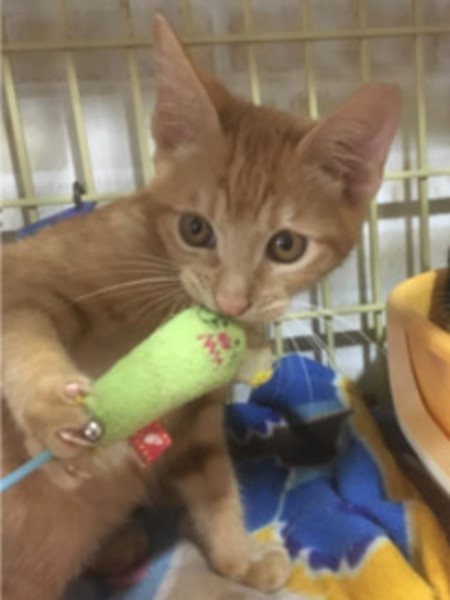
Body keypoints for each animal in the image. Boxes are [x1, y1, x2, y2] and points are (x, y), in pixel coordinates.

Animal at [1, 14, 401, 600]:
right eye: (195, 229)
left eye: (286, 246)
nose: (232, 300)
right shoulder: (23, 274)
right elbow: (21, 327)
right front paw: (52, 412)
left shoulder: (194, 425)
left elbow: (214, 484)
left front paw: (237, 557)